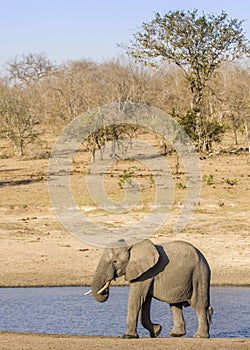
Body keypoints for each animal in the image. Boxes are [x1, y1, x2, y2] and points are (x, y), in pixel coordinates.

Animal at [84, 239, 213, 338]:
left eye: (114, 261)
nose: (106, 286)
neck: (132, 245)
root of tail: (202, 256)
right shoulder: (145, 273)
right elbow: (145, 300)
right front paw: (156, 331)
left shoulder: (146, 273)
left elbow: (136, 299)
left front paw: (128, 336)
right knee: (175, 304)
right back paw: (176, 334)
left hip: (199, 274)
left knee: (199, 305)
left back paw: (199, 336)